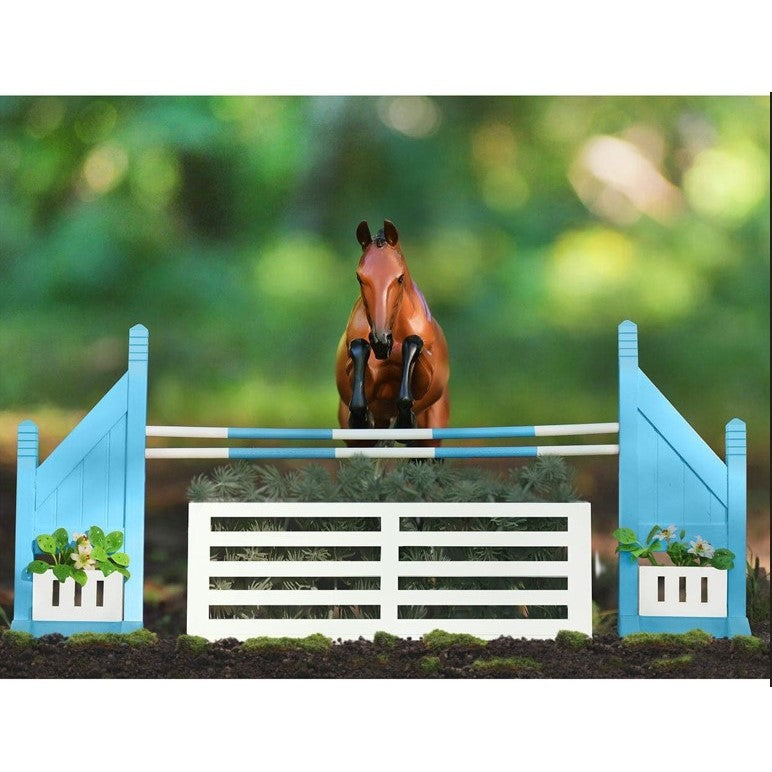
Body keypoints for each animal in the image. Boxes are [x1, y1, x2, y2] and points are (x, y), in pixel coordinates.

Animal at [334, 219, 450, 446]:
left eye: (400, 278)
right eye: (360, 278)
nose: (381, 340)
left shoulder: (426, 377)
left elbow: (413, 343)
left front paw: (405, 420)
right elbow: (359, 348)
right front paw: (361, 418)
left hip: (432, 432)